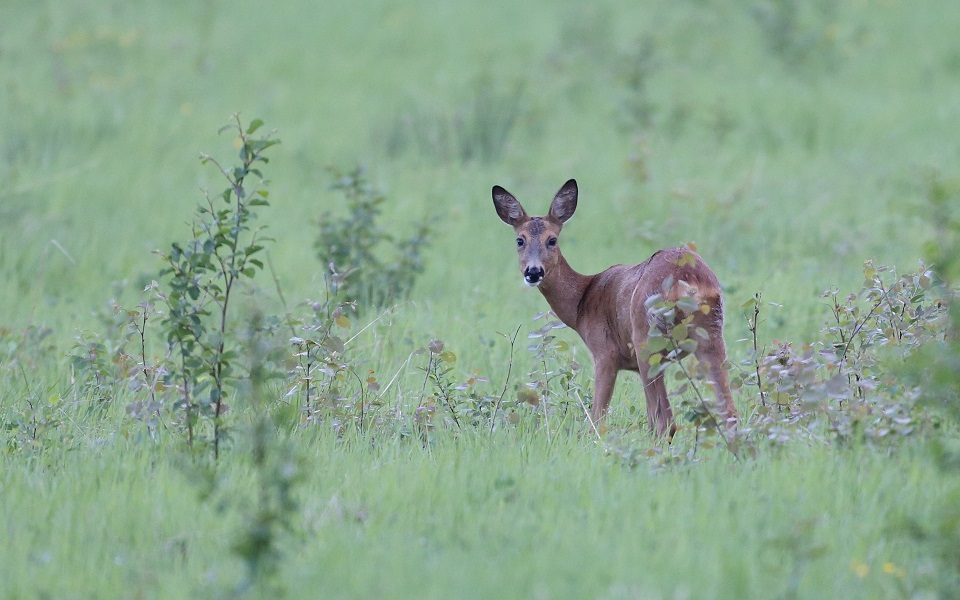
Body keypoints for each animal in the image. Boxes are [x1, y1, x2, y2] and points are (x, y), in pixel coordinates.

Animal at [492, 178, 740, 436]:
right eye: (520, 240)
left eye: (552, 240)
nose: (533, 272)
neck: (582, 302)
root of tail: (687, 280)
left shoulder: (604, 353)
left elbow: (597, 419)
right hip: (711, 335)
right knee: (728, 413)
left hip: (647, 340)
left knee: (665, 422)